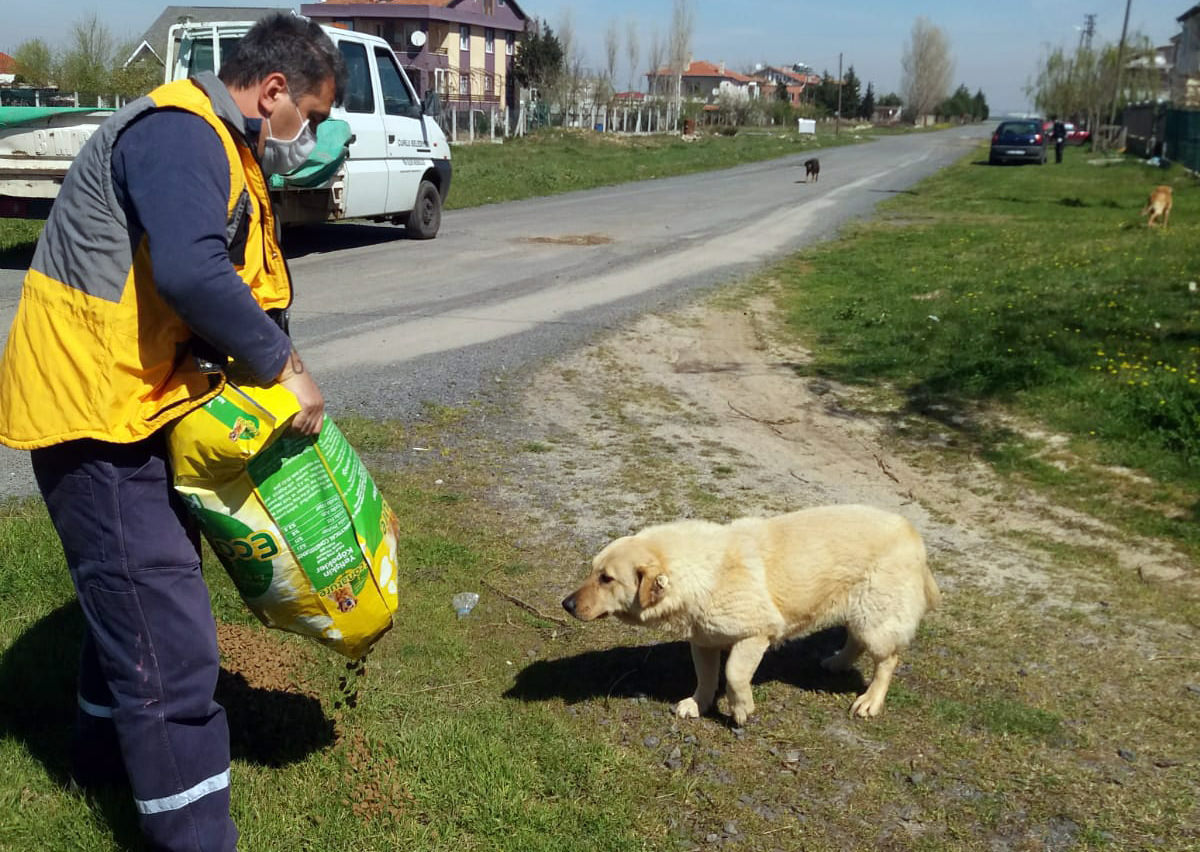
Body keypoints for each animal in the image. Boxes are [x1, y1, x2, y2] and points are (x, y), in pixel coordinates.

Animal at [561, 506, 936, 729]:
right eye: (592, 571)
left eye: (606, 579)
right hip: (858, 611)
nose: (566, 604)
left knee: (888, 660)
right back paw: (837, 663)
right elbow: (706, 676)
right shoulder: (703, 640)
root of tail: (912, 532)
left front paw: (741, 710)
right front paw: (697, 704)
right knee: (855, 640)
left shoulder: (756, 634)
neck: (701, 572)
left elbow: (734, 674)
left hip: (877, 617)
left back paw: (870, 701)